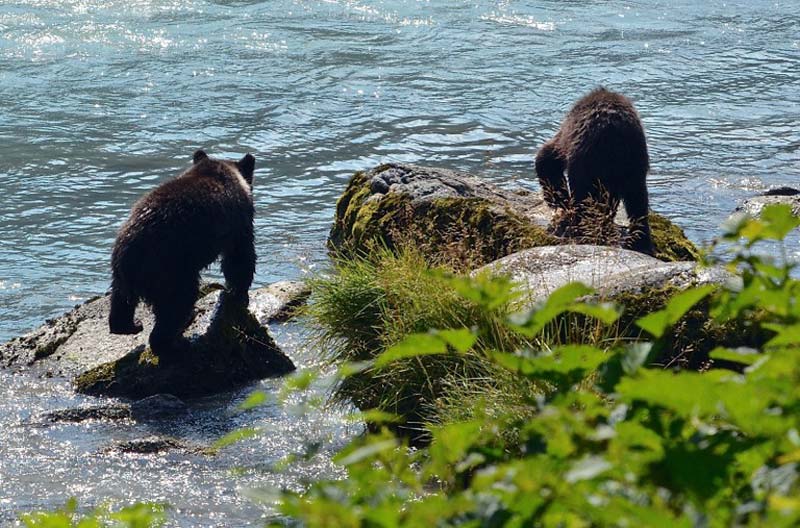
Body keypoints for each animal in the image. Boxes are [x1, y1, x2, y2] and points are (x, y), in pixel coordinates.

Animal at [108, 149, 257, 360]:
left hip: (122, 270)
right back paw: (175, 341)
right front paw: (240, 293)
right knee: (178, 301)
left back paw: (130, 325)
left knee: (121, 298)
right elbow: (240, 256)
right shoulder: (237, 221)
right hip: (171, 266)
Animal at [535, 87, 655, 255]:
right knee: (637, 198)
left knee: (584, 193)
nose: (553, 203)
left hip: (586, 155)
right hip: (634, 159)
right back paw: (640, 242)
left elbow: (549, 160)